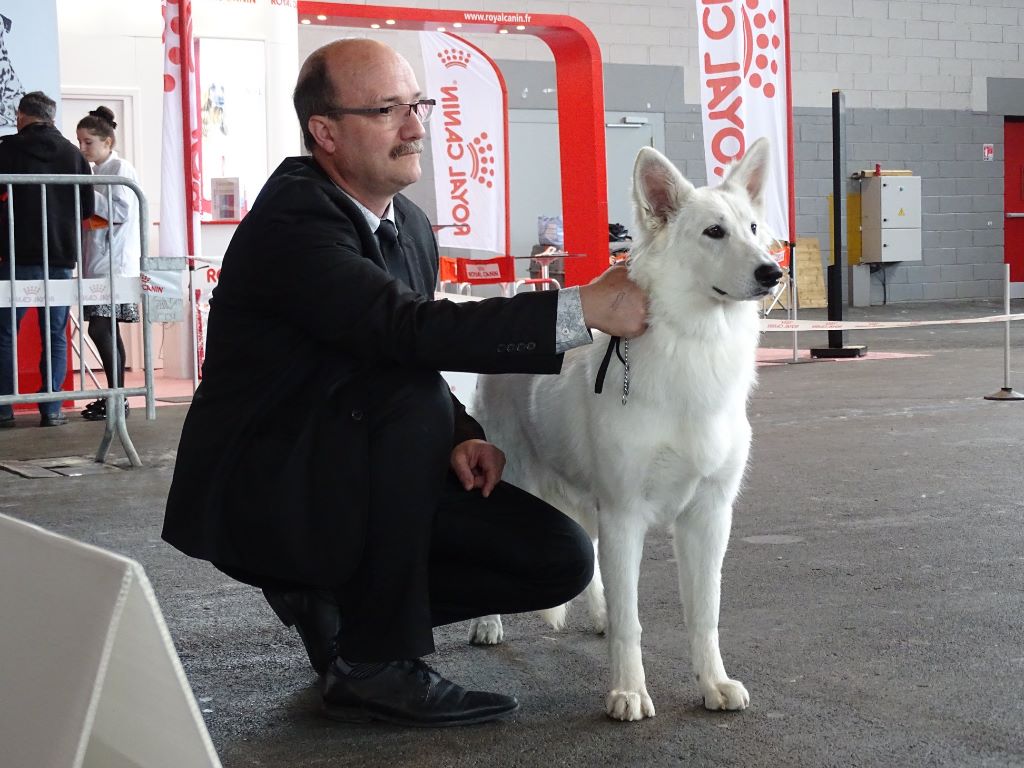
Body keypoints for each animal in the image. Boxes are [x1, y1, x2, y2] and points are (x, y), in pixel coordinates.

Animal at [467, 138, 782, 721]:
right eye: (714, 232)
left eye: (753, 228)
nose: (773, 272)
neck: (693, 345)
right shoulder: (624, 513)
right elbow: (632, 622)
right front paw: (628, 691)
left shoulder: (708, 517)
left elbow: (704, 614)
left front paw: (713, 683)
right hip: (509, 482)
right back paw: (488, 623)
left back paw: (598, 613)